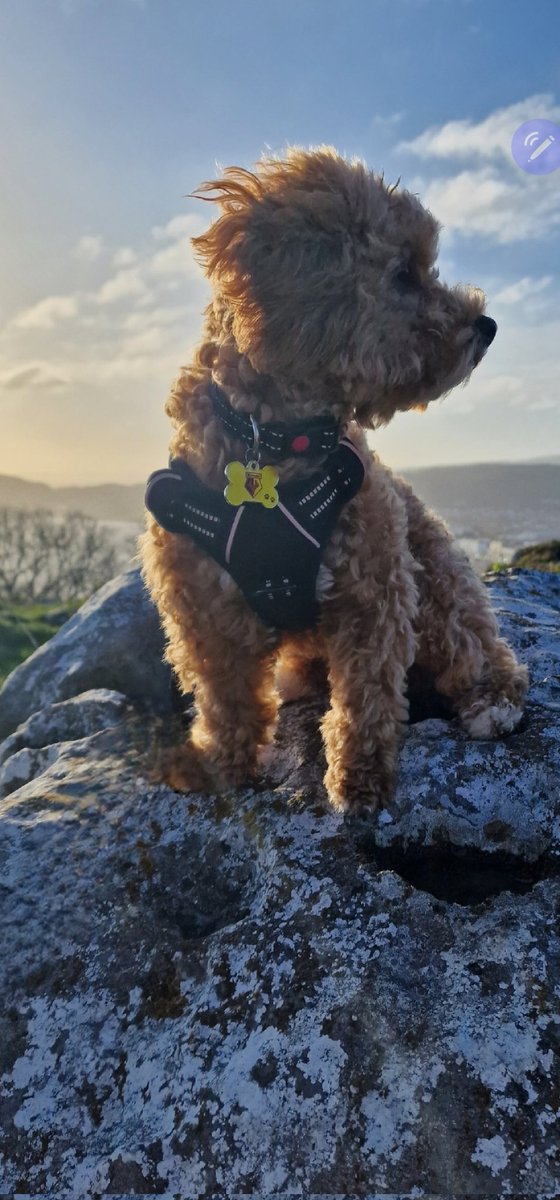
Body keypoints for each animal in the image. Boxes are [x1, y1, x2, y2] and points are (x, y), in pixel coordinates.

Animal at [137, 145, 527, 811]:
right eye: (403, 274)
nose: (488, 326)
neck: (274, 442)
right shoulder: (201, 606)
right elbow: (226, 697)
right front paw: (221, 766)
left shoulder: (376, 586)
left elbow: (368, 692)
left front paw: (360, 777)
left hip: (440, 580)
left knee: (479, 647)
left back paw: (491, 703)